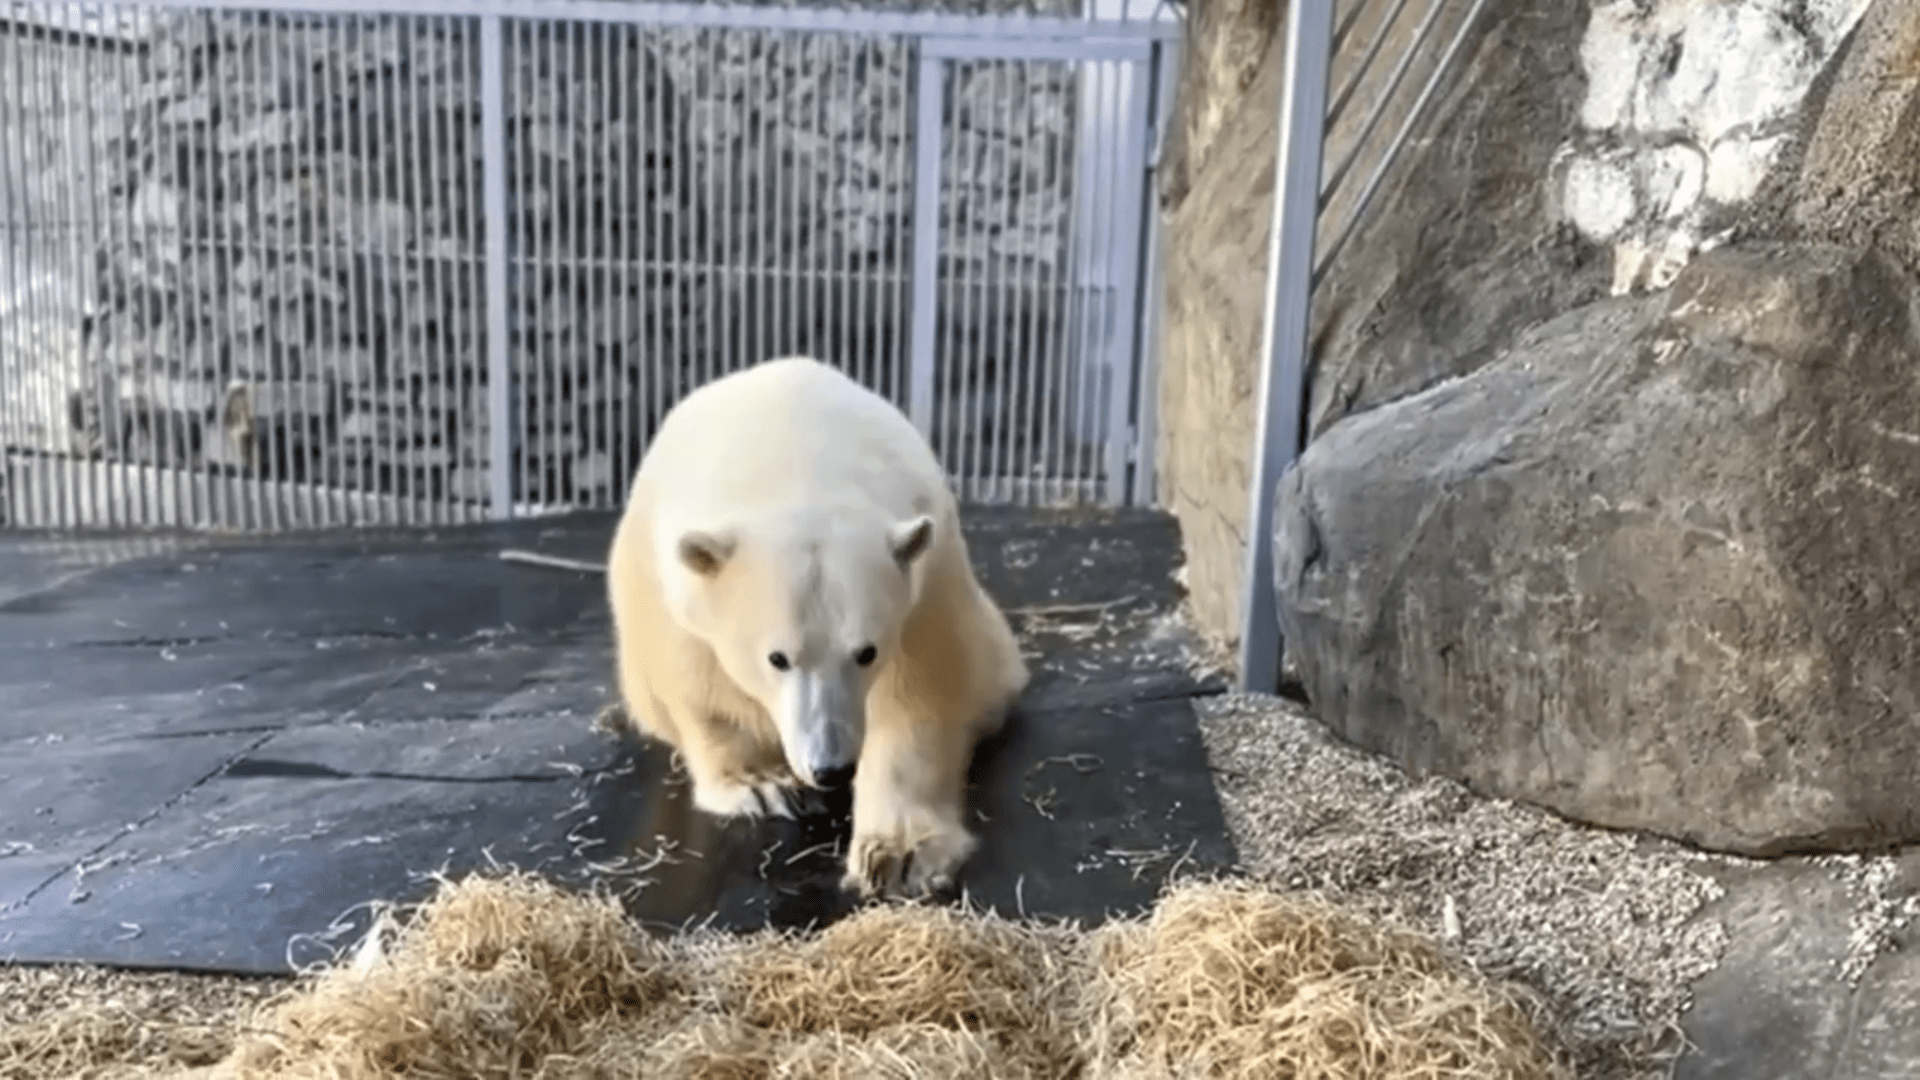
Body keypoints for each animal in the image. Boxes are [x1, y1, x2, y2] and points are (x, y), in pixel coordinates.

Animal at [602, 357, 1036, 895]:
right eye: (777, 658)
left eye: (867, 652)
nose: (831, 768)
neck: (796, 464)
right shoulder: (675, 585)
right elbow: (702, 687)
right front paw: (762, 785)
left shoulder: (926, 584)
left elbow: (920, 697)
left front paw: (898, 853)